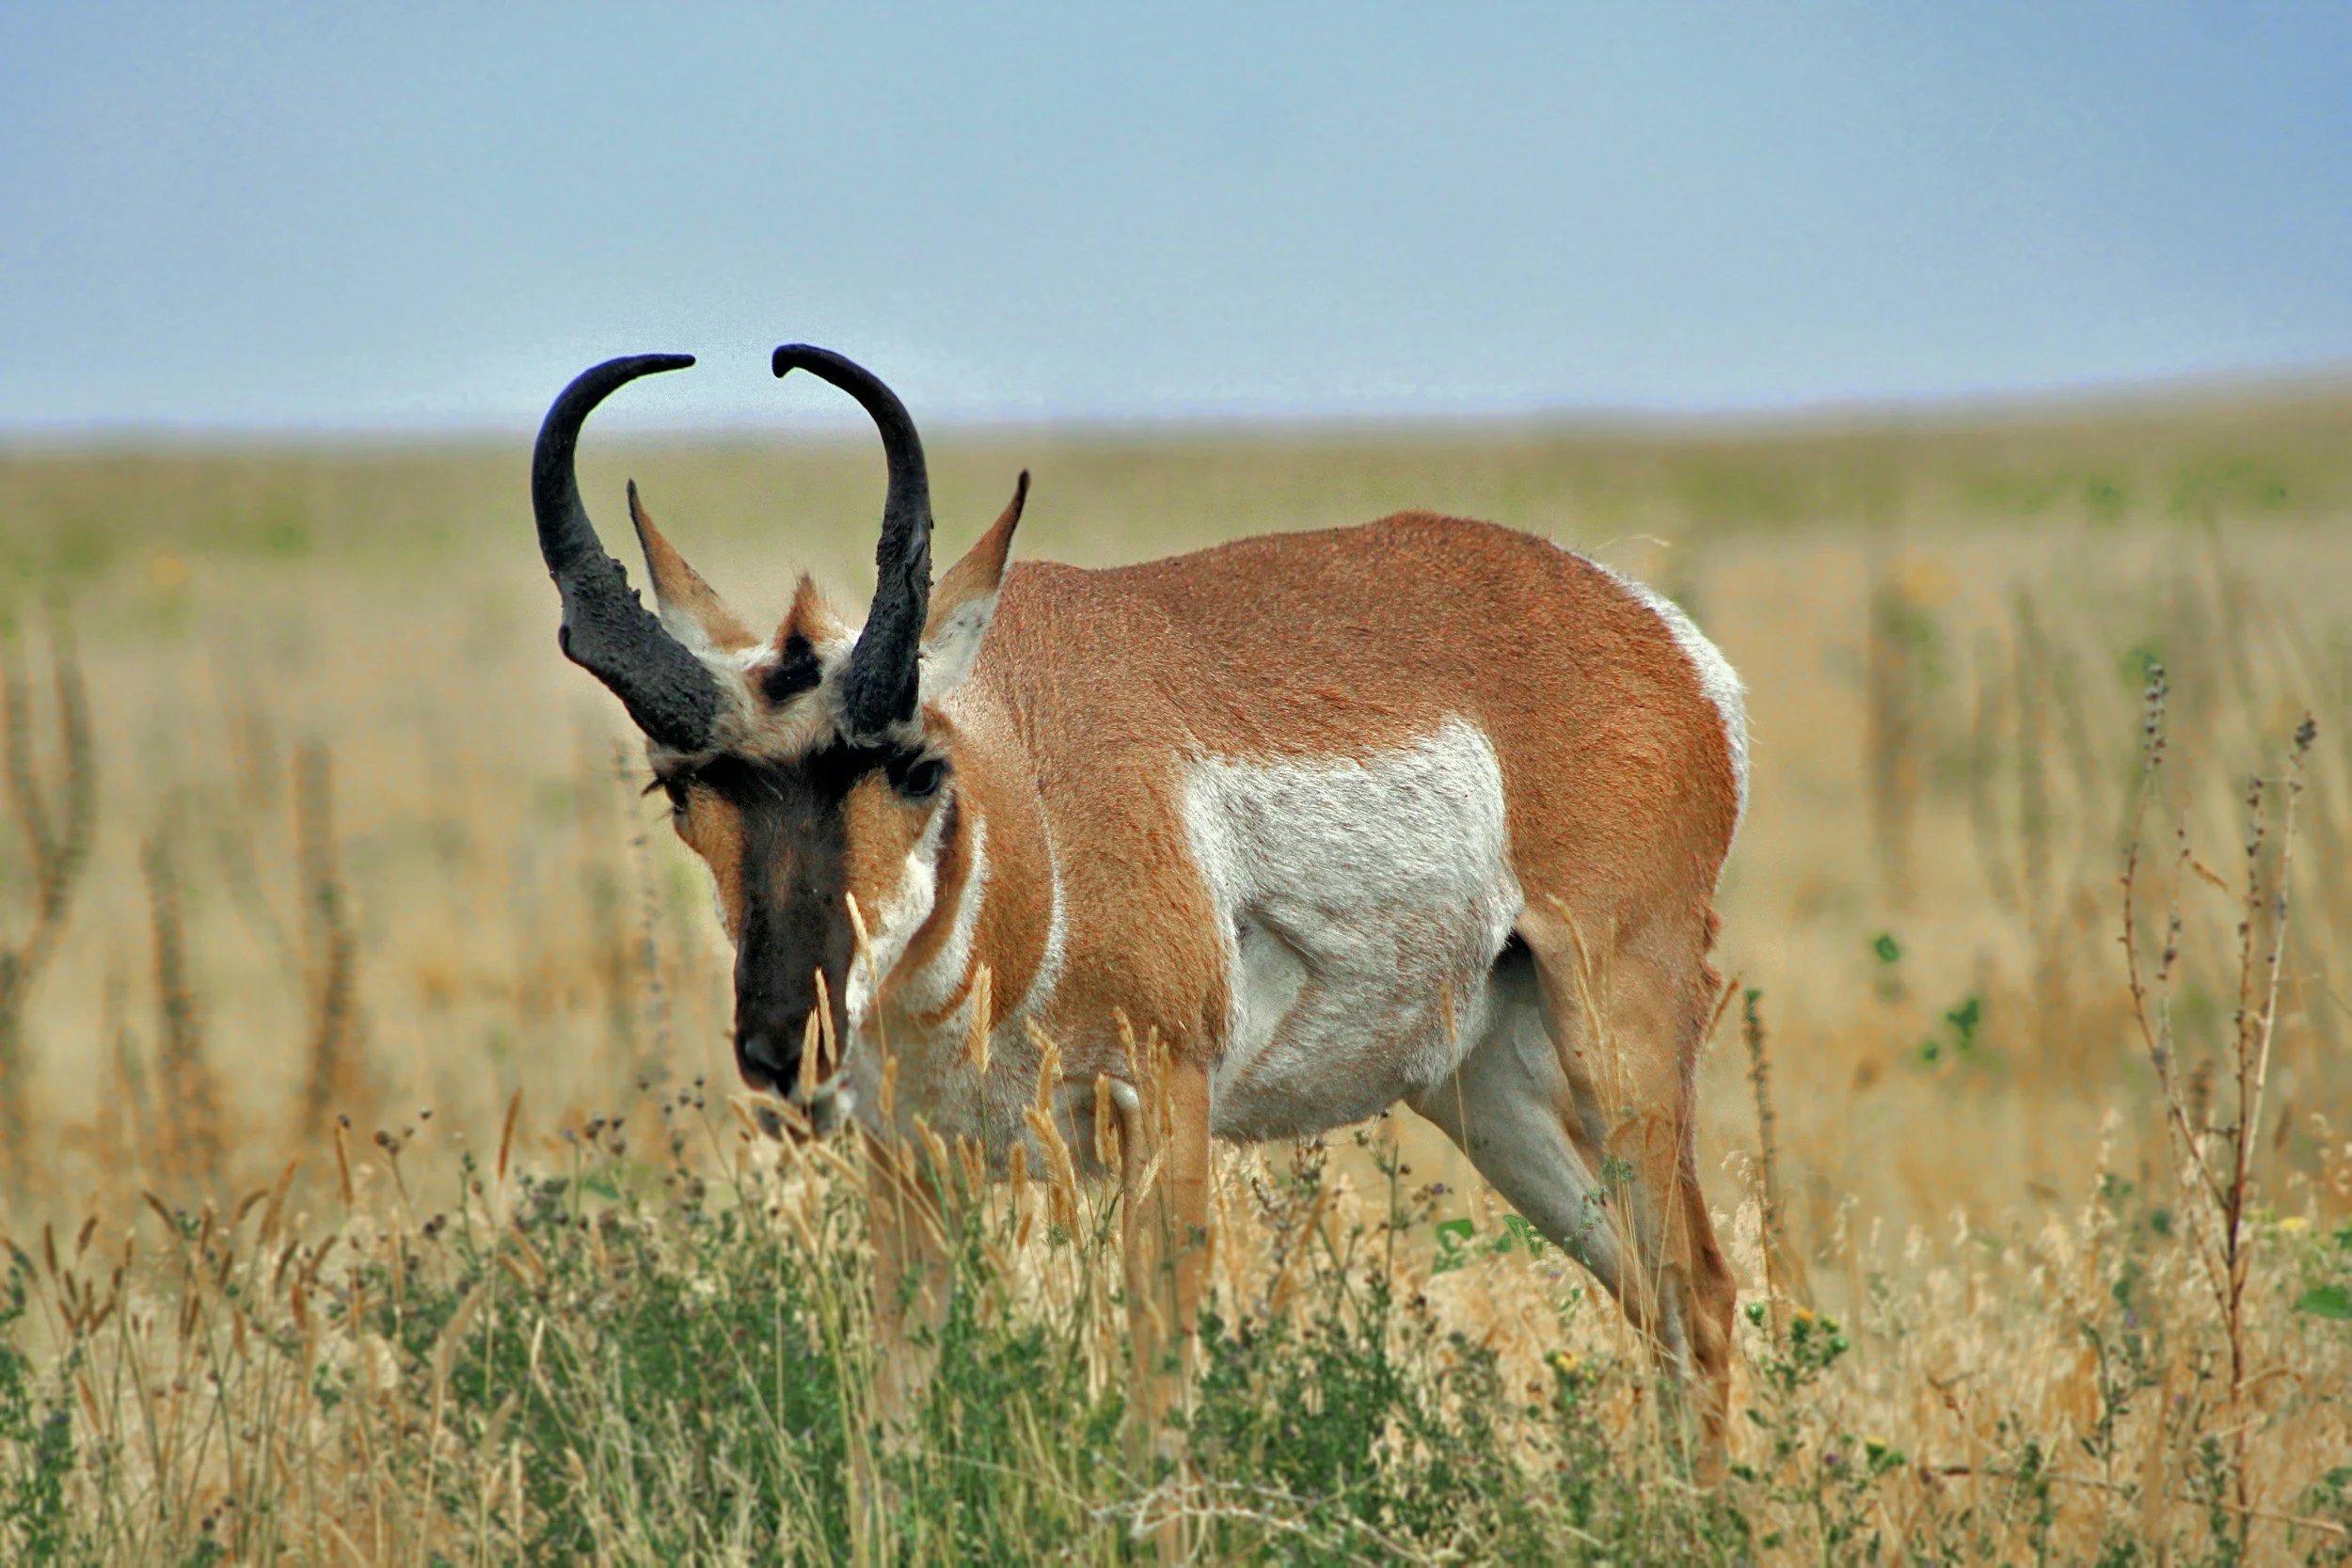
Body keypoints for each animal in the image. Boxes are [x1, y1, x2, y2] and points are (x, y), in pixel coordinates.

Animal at [529, 347, 1749, 1466]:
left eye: (917, 766)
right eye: (678, 785)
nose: (789, 1043)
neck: (1030, 783)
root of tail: (1652, 629)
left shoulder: (1164, 1103)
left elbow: (1155, 1416)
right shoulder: (908, 1156)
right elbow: (893, 1422)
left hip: (1618, 1040)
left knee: (1698, 1291)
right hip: (1486, 1089)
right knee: (1660, 1298)